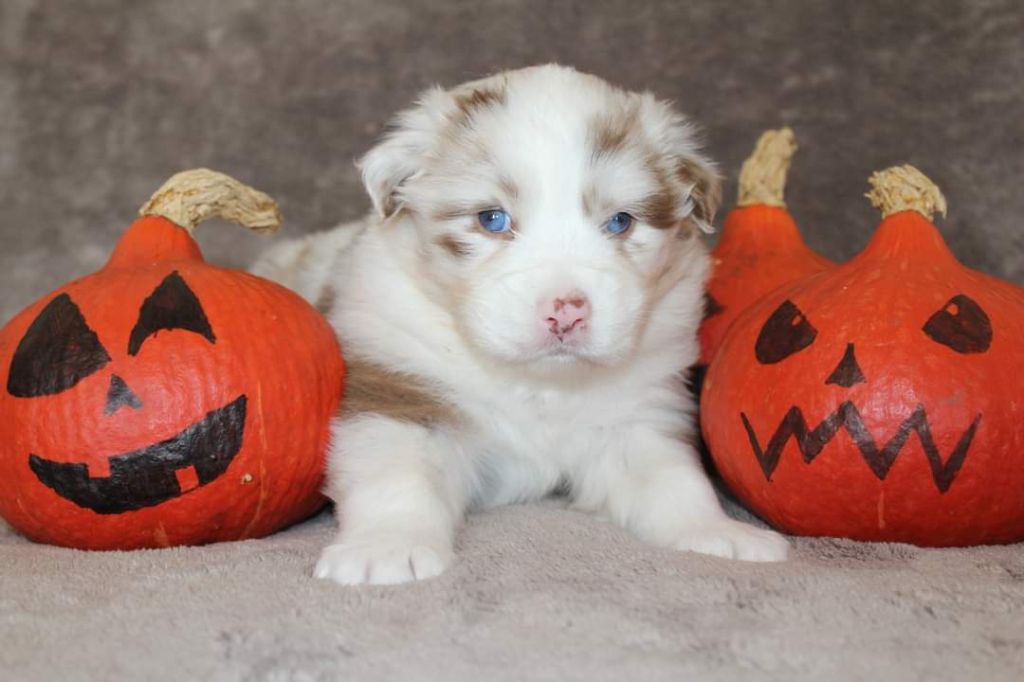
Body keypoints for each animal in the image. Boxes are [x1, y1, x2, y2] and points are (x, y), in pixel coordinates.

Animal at [254, 64, 789, 585]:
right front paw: (386, 549)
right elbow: (398, 476)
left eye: (620, 221)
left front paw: (719, 532)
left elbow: (674, 479)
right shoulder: (401, 390)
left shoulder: (638, 413)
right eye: (492, 219)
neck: (539, 384)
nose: (567, 310)